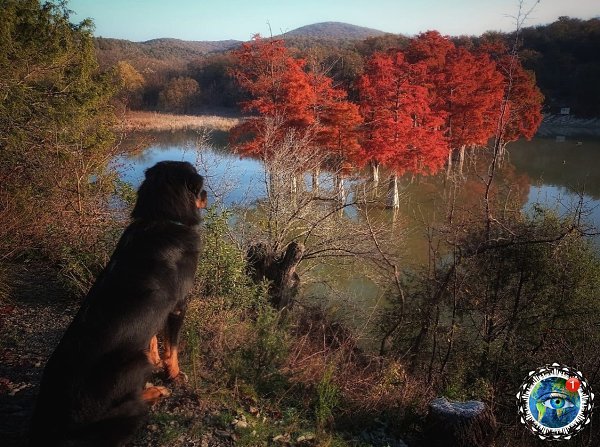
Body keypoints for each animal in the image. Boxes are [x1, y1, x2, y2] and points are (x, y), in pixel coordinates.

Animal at [29, 161, 207, 447]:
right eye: (200, 188)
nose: (207, 195)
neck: (160, 219)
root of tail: (52, 427)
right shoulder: (178, 306)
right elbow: (173, 348)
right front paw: (174, 374)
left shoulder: (155, 313)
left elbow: (152, 338)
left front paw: (158, 359)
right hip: (134, 365)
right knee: (127, 406)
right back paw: (154, 391)